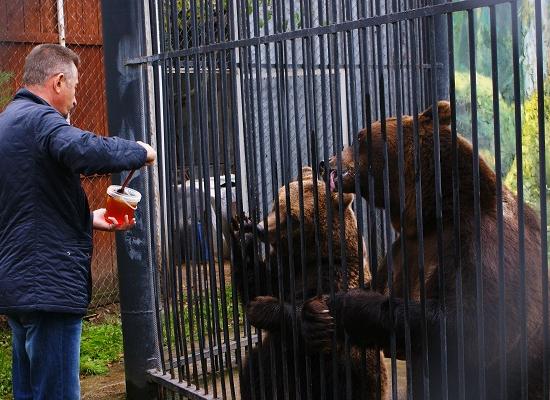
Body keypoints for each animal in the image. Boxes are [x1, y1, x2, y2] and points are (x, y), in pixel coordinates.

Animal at [231, 166, 390, 400]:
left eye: (292, 217)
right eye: (276, 203)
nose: (260, 228)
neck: (307, 259)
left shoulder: (333, 275)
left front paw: (309, 317)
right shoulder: (282, 270)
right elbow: (257, 285)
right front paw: (243, 237)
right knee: (255, 371)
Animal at [306, 101, 548, 400]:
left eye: (359, 137)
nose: (324, 163)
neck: (435, 213)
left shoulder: (484, 242)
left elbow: (474, 326)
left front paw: (345, 303)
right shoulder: (403, 249)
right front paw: (315, 312)